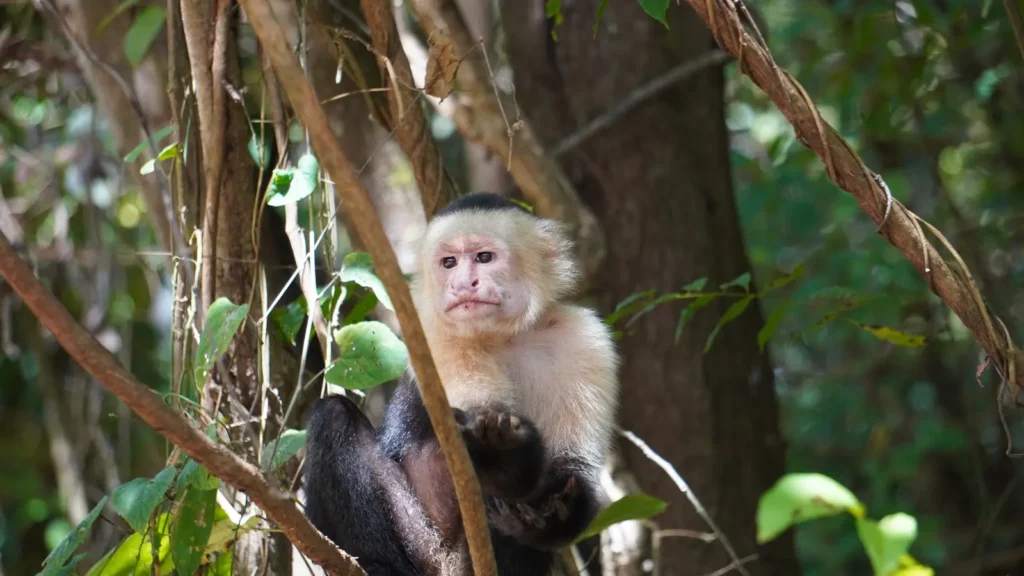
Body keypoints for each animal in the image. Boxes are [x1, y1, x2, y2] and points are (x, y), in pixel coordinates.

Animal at [303, 192, 620, 575]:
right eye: (449, 263)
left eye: (484, 257)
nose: (461, 284)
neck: (503, 337)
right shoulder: (433, 335)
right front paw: (500, 458)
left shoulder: (586, 339)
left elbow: (573, 467)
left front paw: (556, 513)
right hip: (422, 544)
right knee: (333, 417)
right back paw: (380, 565)